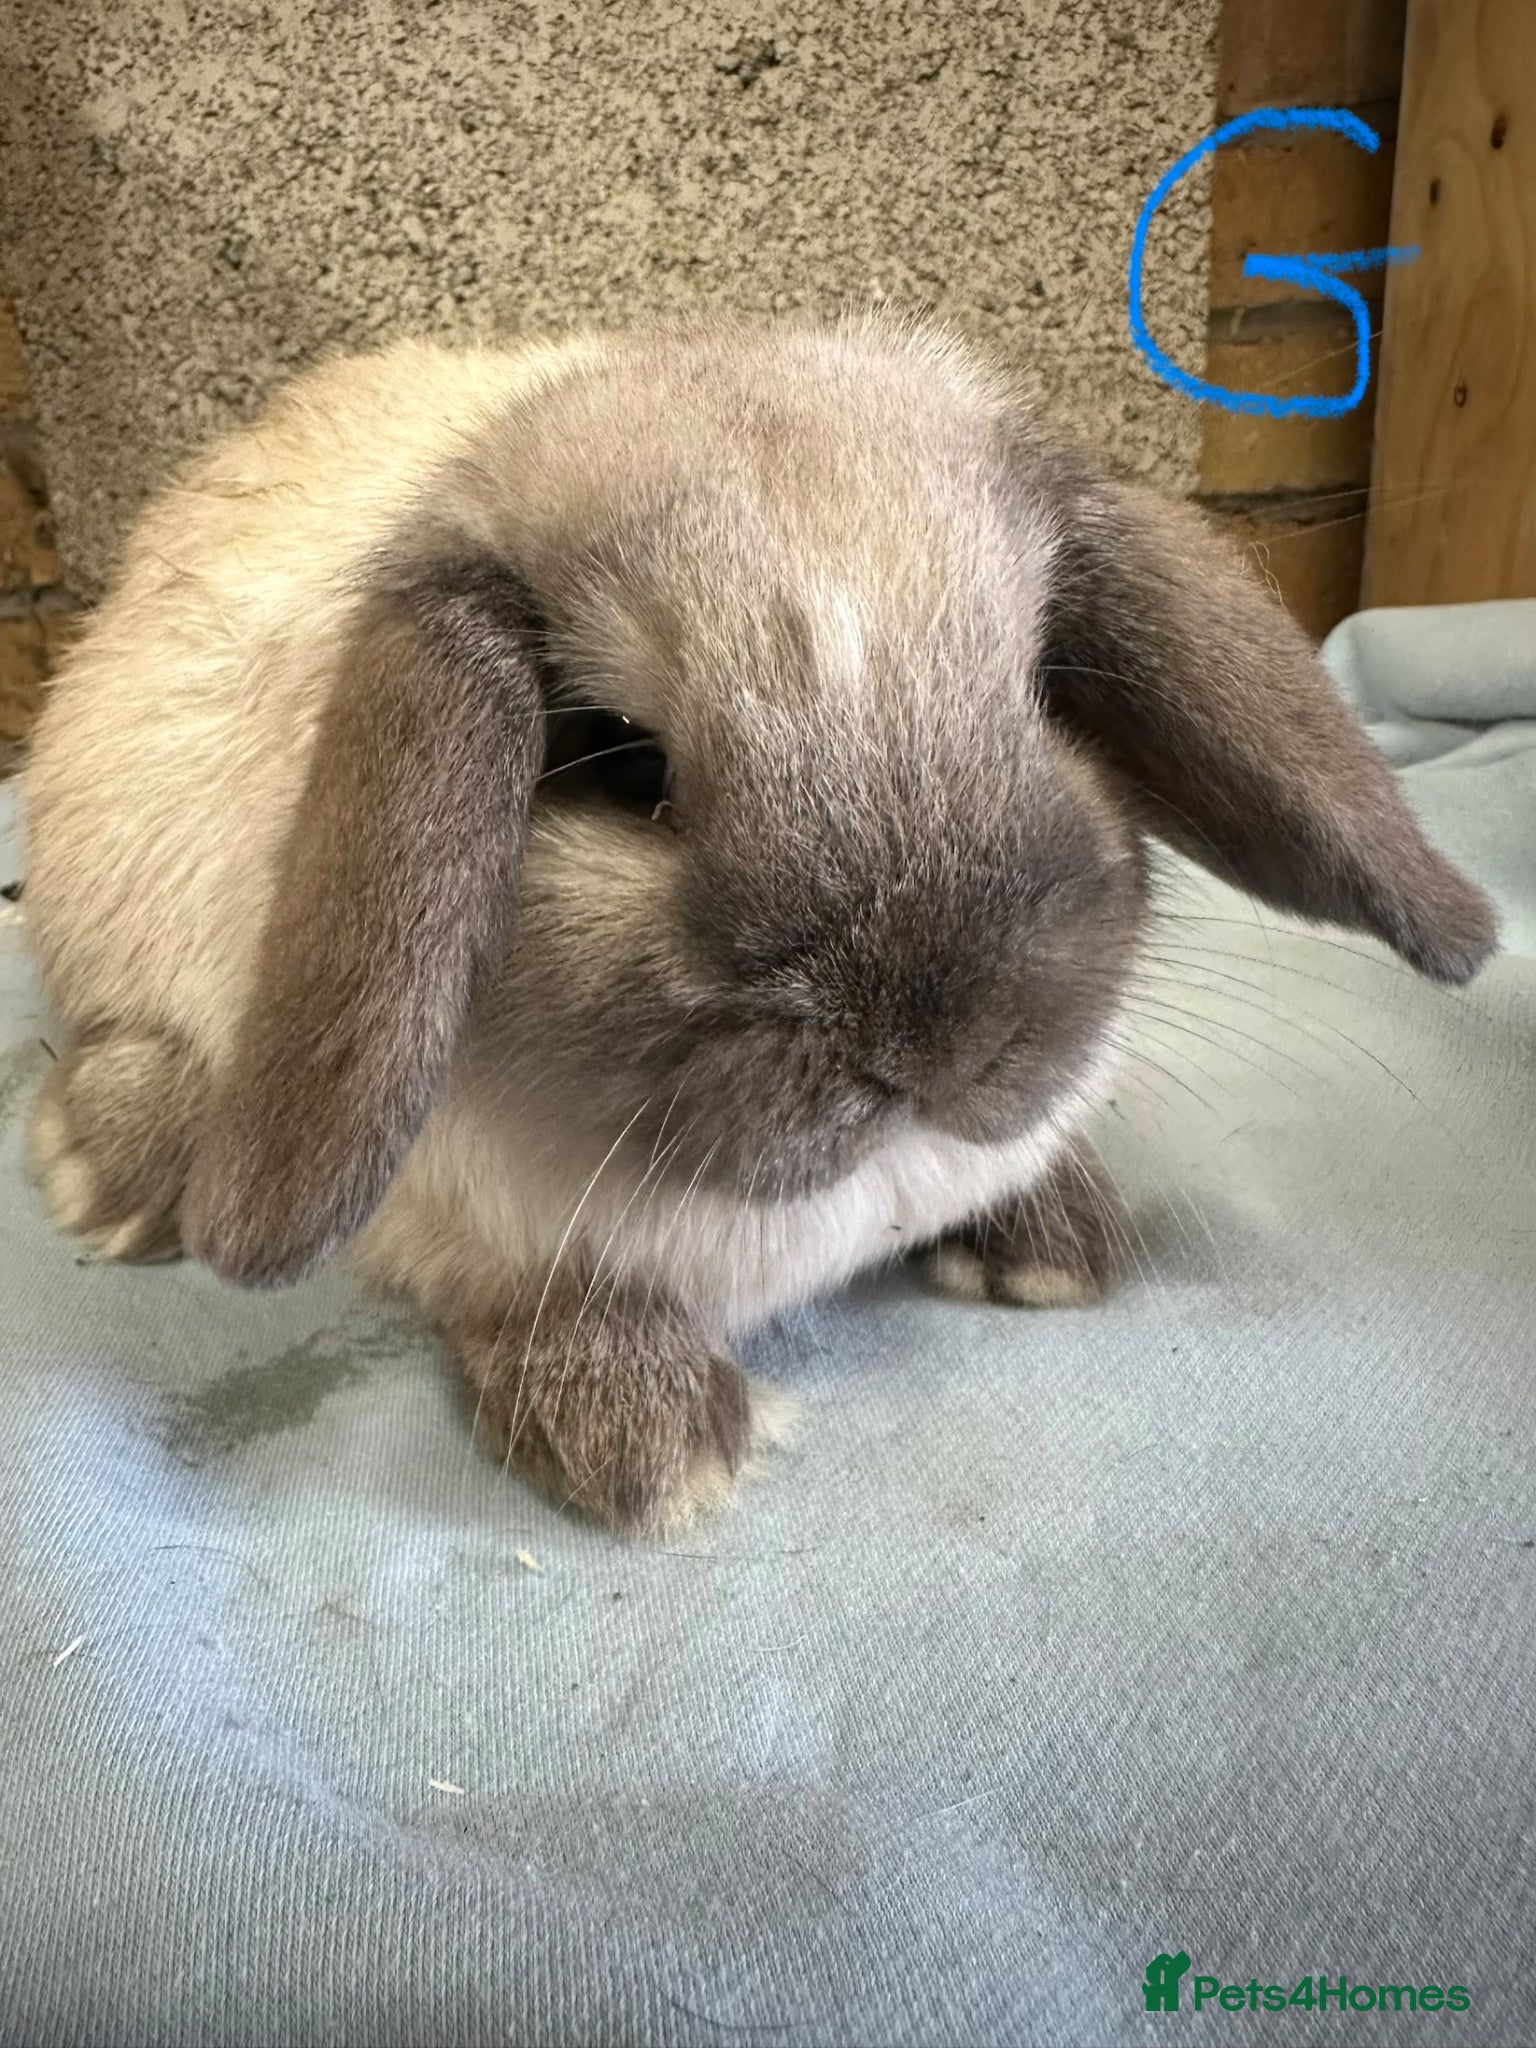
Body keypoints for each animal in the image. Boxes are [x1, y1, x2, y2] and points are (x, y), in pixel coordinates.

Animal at [19, 310, 1497, 1533]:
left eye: (1041, 691)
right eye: (622, 760)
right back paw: (105, 1175)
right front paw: (658, 1450)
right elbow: (537, 1306)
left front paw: (1057, 1245)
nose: (934, 1046)